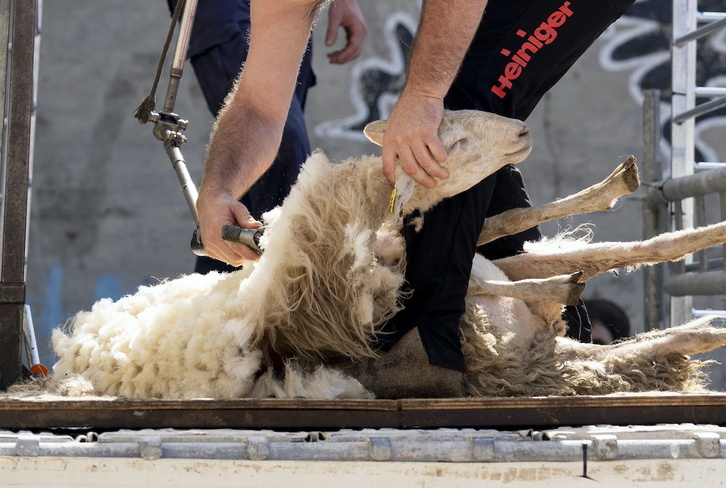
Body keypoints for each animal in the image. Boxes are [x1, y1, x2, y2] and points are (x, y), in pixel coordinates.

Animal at [48, 110, 726, 400]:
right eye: (452, 137)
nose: (520, 130)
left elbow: (602, 239)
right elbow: (485, 268)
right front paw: (563, 285)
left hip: (535, 342)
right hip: (531, 359)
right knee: (642, 342)